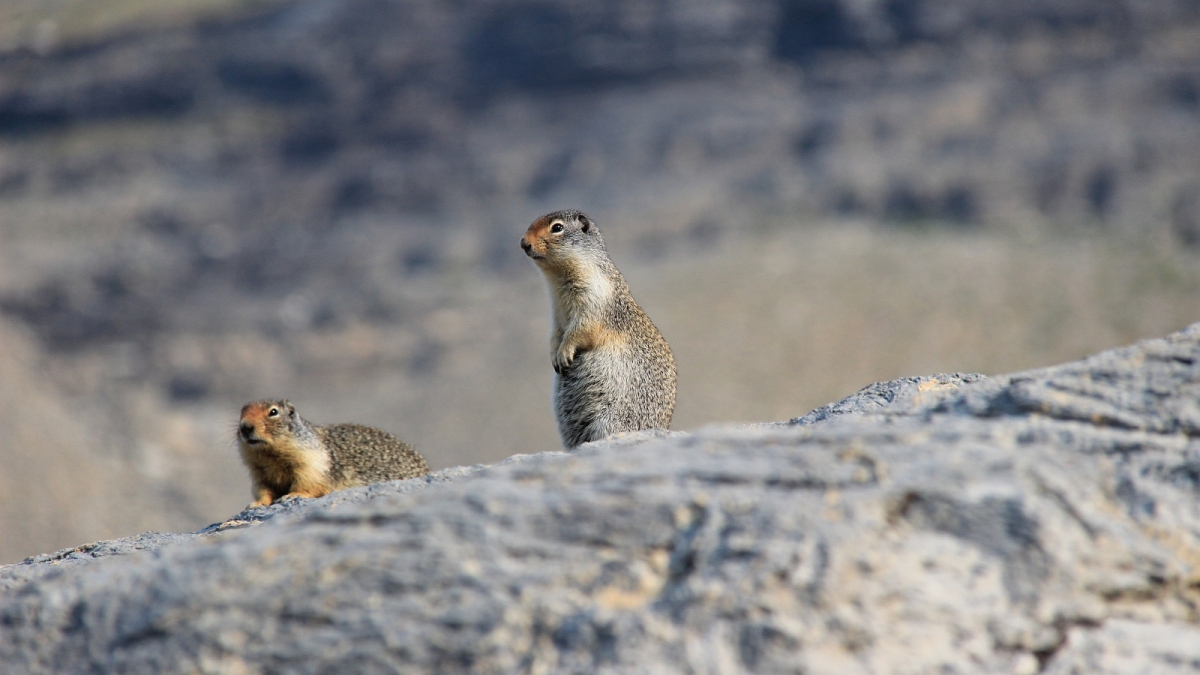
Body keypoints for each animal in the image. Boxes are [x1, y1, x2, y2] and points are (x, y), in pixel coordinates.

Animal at [236, 399, 429, 507]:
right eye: (241, 412)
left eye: (273, 412)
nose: (245, 427)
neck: (270, 456)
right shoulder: (258, 474)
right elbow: (263, 490)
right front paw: (255, 504)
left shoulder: (312, 463)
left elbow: (308, 483)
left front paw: (293, 495)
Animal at [520, 209, 677, 448]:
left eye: (557, 228)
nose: (523, 243)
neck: (560, 282)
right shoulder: (556, 312)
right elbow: (556, 333)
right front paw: (554, 355)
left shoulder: (595, 297)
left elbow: (582, 328)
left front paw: (564, 353)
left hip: (609, 419)